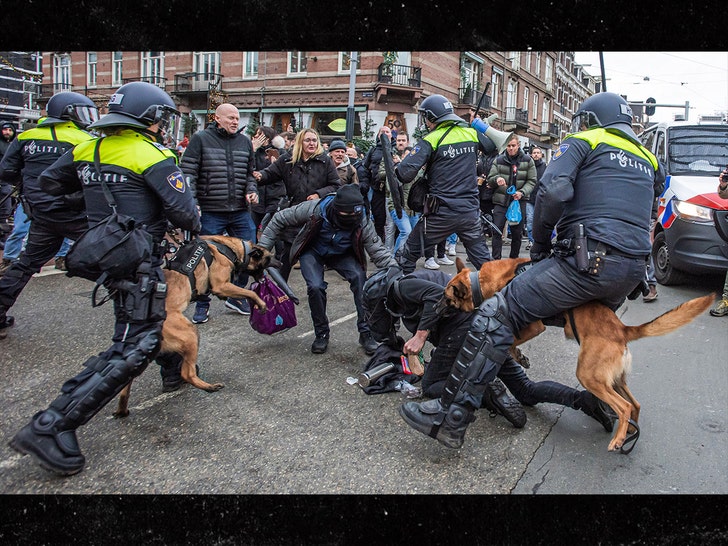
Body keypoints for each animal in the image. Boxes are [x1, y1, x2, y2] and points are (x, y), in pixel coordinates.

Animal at [115, 234, 278, 416]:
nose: (281, 263)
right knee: (186, 373)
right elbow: (249, 292)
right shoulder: (222, 285)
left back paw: (122, 408)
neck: (234, 248)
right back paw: (208, 386)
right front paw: (260, 303)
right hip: (190, 334)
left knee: (127, 380)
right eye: (269, 258)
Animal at [436, 258, 712, 452]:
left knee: (623, 407)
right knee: (635, 405)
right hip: (614, 380)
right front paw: (519, 356)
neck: (483, 281)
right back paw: (628, 435)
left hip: (589, 375)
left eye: (446, 298)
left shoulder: (533, 326)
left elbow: (513, 339)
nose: (434, 311)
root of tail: (623, 329)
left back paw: (618, 438)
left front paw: (517, 355)